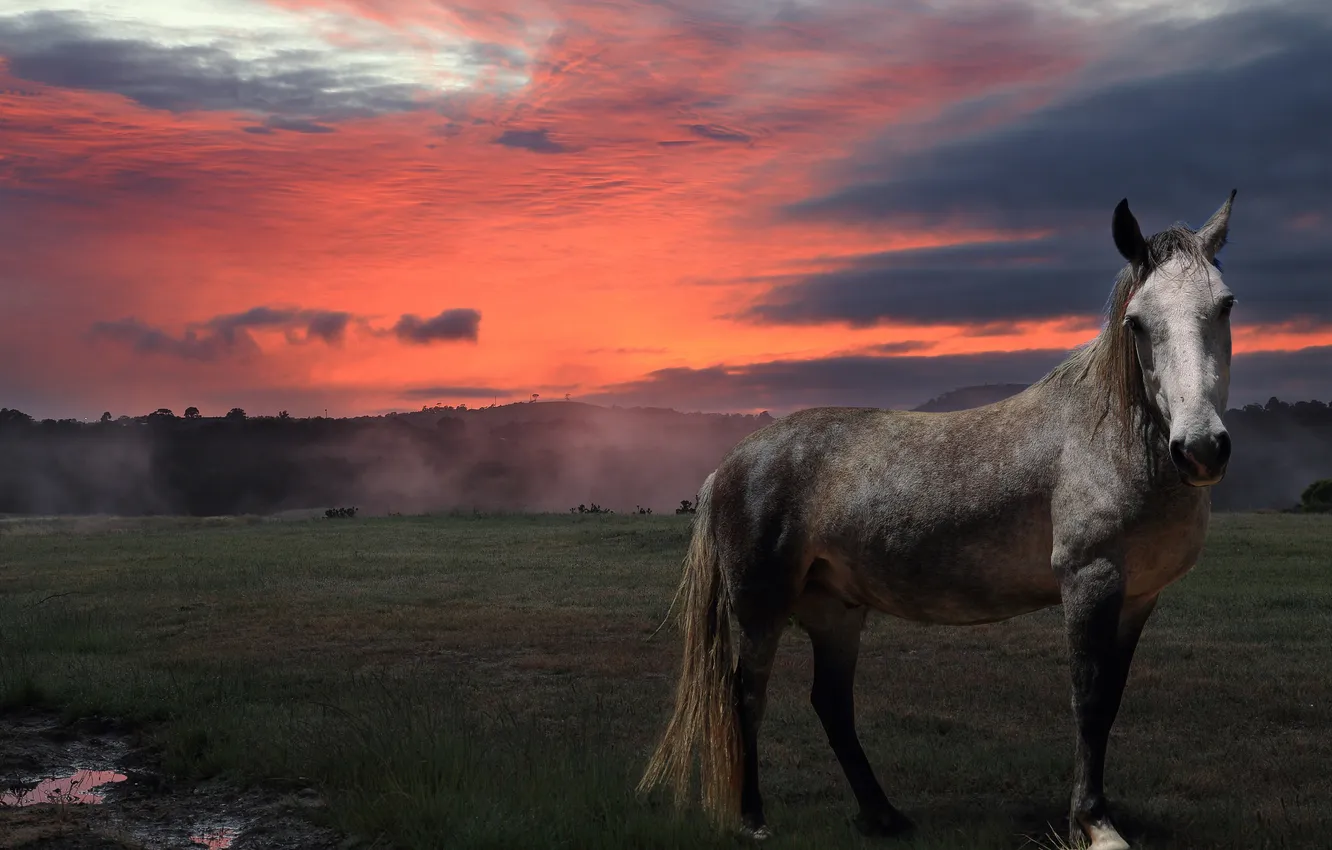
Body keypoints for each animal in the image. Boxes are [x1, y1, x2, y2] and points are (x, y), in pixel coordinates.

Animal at [638, 192, 1239, 850]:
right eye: (1136, 323)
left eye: (1226, 305)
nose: (1200, 448)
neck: (1108, 437)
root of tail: (728, 466)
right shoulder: (1090, 580)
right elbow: (1087, 697)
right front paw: (1094, 824)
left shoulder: (1137, 597)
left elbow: (1108, 702)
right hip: (761, 607)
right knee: (746, 695)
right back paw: (753, 819)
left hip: (833, 611)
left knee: (831, 704)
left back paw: (883, 815)